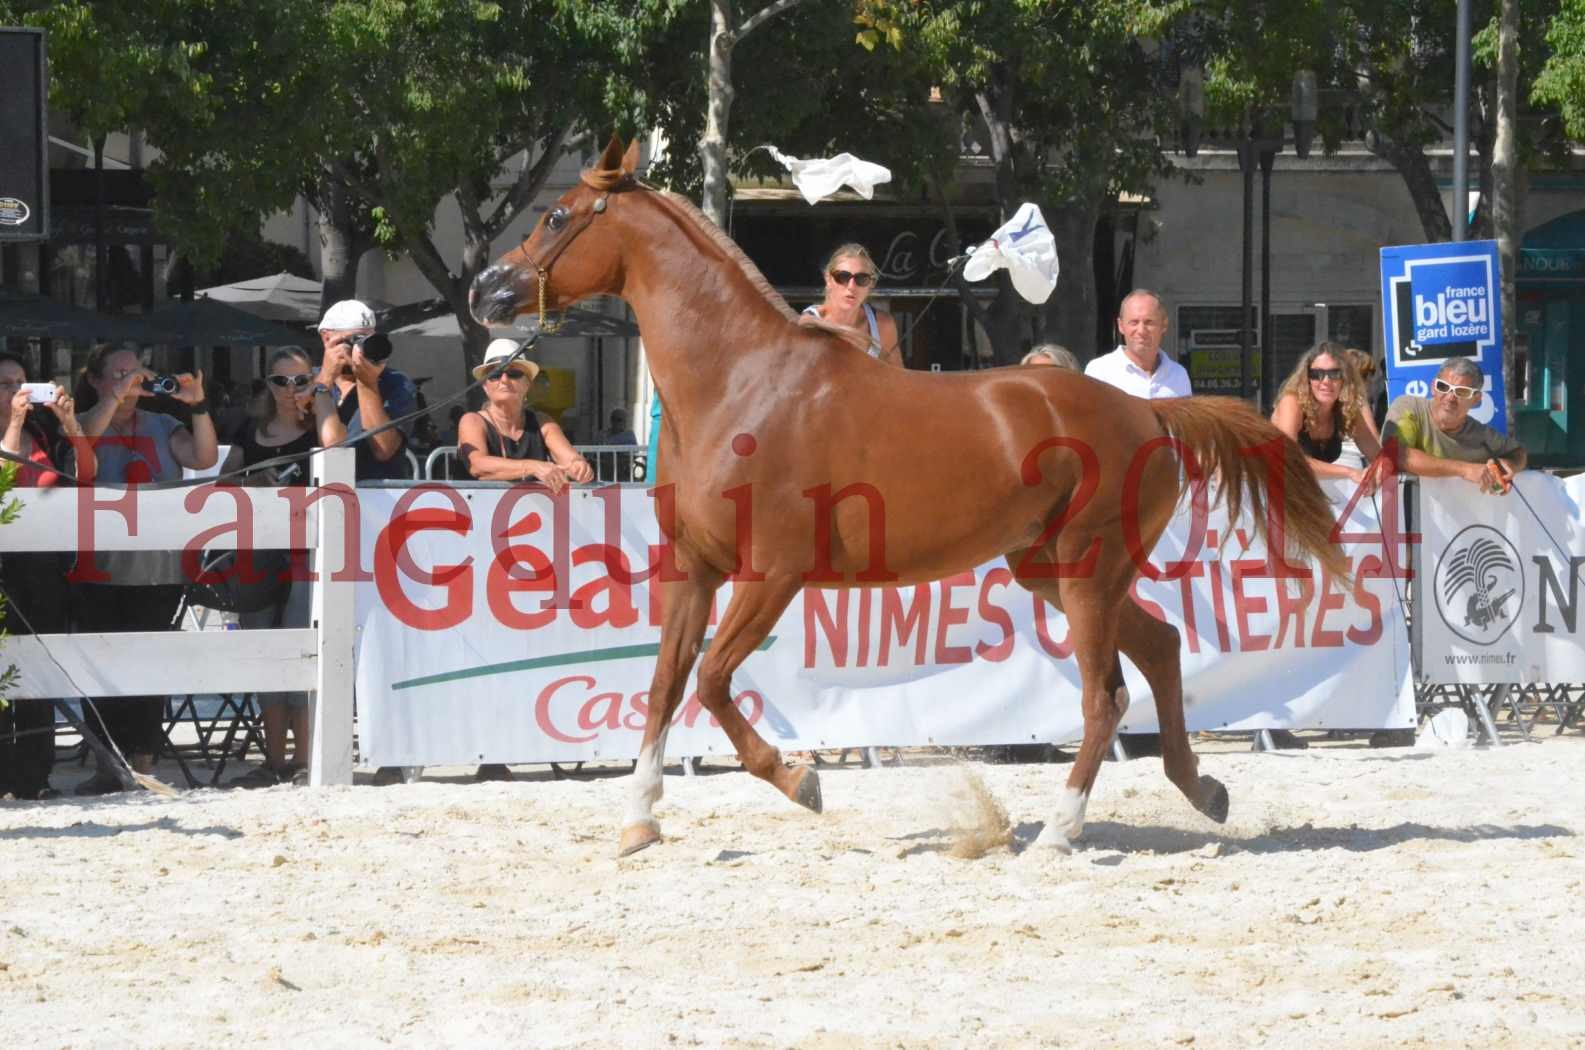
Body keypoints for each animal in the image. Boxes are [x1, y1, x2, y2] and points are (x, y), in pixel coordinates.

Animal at [472, 139, 1350, 862]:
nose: (487, 289)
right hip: (1048, 568)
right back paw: (1202, 790)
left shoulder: (773, 573)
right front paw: (639, 821)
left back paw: (1058, 833)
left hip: (1086, 571)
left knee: (1104, 697)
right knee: (1161, 648)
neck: (741, 383)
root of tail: (1148, 413)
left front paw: (799, 780)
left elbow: (715, 681)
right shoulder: (695, 569)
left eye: (555, 215)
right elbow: (663, 685)